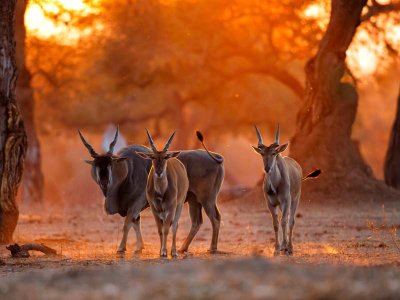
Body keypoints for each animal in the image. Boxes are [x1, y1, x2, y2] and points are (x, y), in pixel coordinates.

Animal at [136, 129, 189, 258]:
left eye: (165, 157)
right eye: (153, 157)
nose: (159, 172)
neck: (161, 192)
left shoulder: (171, 207)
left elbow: (166, 229)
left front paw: (165, 251)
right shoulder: (154, 209)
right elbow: (160, 229)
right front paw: (161, 251)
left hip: (179, 205)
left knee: (174, 226)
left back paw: (173, 251)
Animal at [252, 124, 320, 255]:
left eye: (274, 153)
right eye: (262, 153)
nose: (267, 168)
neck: (275, 185)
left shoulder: (286, 200)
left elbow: (284, 221)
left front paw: (284, 247)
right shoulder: (271, 204)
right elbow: (276, 223)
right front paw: (277, 248)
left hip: (295, 200)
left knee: (290, 221)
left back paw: (289, 247)